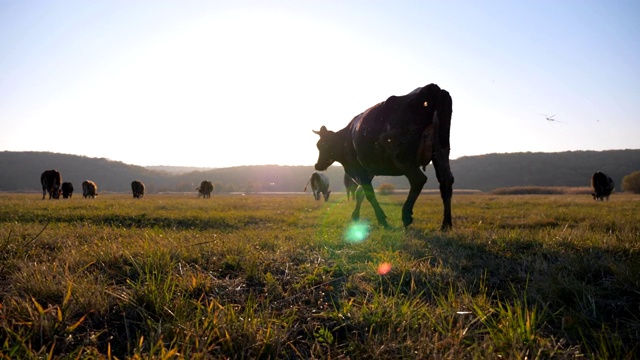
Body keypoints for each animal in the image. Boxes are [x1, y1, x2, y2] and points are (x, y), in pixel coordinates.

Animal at [312, 83, 452, 231]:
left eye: (322, 145)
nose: (318, 165)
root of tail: (430, 88)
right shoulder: (369, 171)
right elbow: (360, 193)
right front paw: (355, 216)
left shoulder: (360, 169)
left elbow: (369, 194)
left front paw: (382, 220)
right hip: (441, 151)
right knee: (446, 182)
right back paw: (446, 224)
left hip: (401, 156)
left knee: (418, 179)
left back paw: (406, 216)